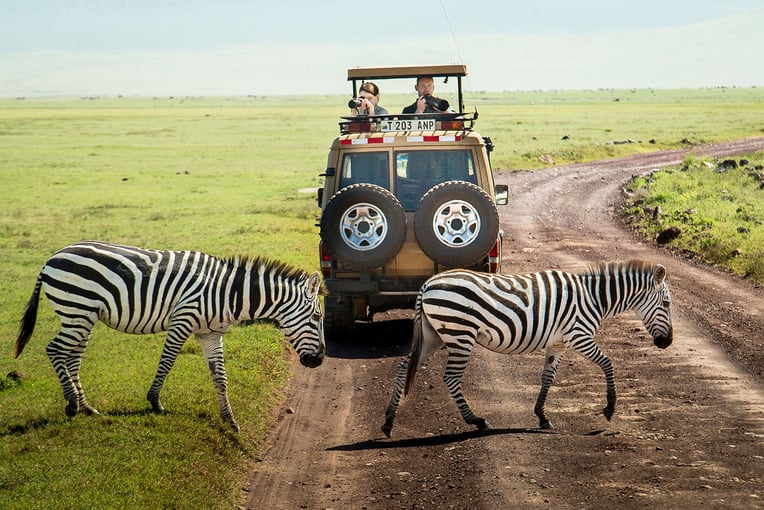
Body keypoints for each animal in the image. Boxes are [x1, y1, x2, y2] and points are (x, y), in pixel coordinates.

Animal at [14, 241, 326, 432]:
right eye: (317, 318)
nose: (320, 360)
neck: (227, 293)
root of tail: (53, 257)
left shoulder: (210, 334)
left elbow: (221, 378)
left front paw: (230, 420)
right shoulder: (182, 319)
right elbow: (167, 361)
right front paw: (155, 402)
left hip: (82, 316)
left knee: (73, 356)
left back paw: (86, 406)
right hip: (77, 309)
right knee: (55, 350)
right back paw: (71, 404)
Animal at [384, 260, 672, 436]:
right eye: (667, 303)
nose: (667, 342)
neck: (594, 297)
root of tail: (427, 284)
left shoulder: (558, 343)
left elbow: (548, 378)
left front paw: (542, 417)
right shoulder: (579, 336)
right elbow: (608, 363)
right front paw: (610, 408)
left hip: (433, 335)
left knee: (403, 368)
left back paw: (388, 421)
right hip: (460, 334)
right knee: (451, 377)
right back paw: (477, 421)